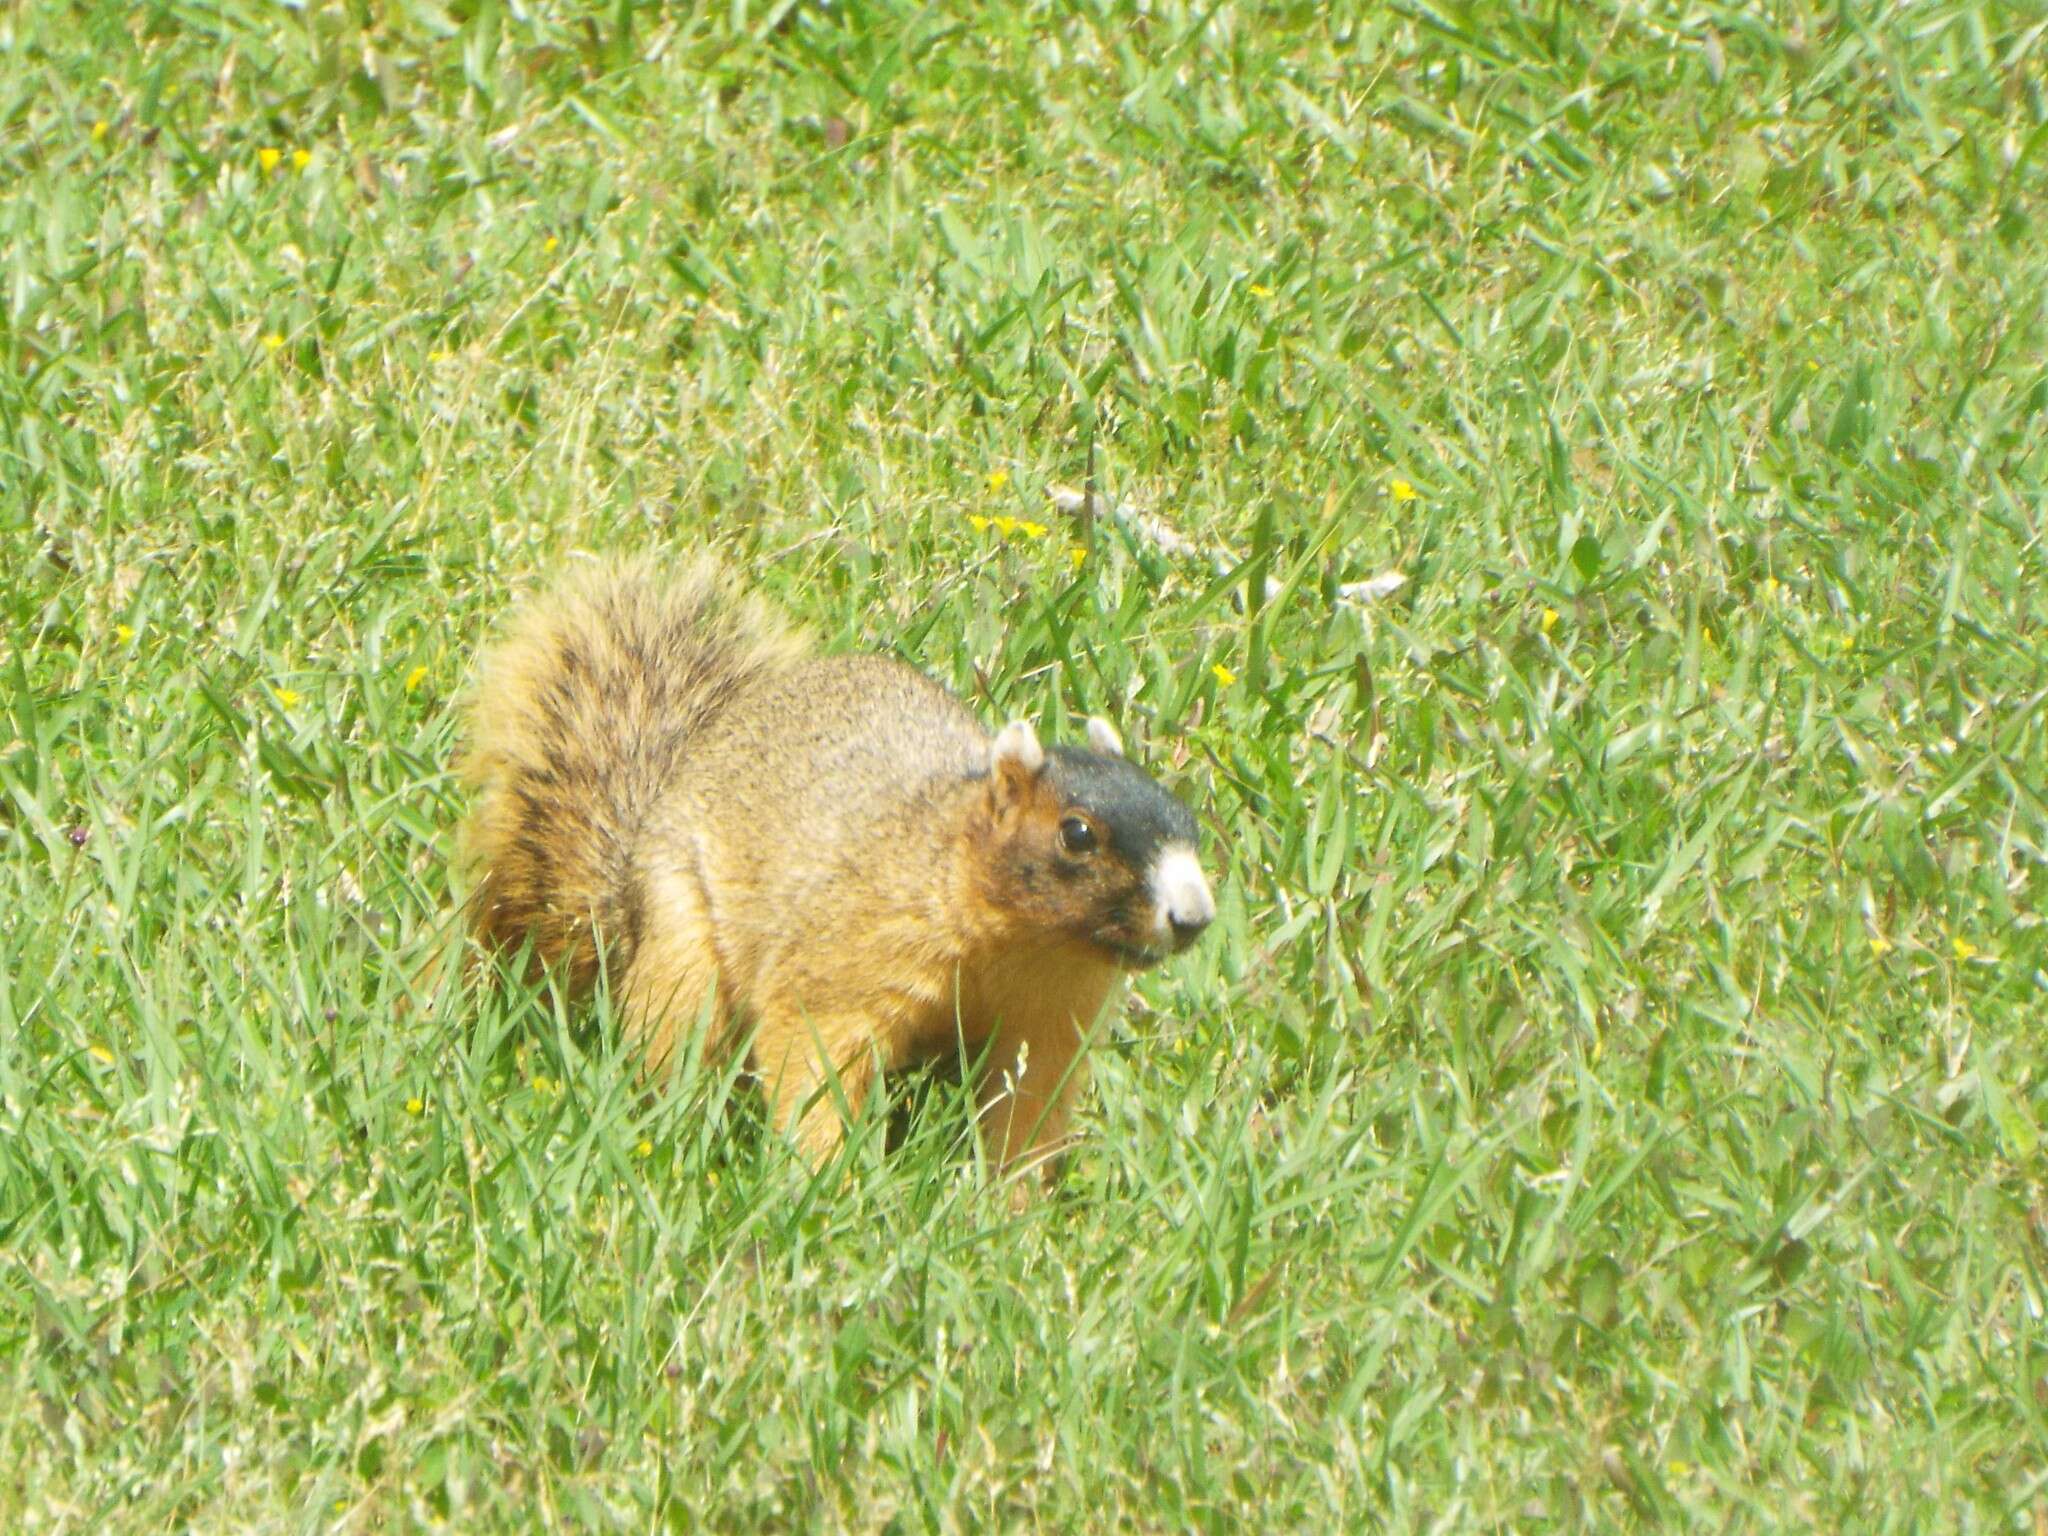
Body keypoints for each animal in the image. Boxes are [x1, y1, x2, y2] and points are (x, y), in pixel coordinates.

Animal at [456, 561, 1204, 1187]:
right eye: (1077, 833)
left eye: (1190, 820)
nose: (1193, 917)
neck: (1018, 941)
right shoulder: (849, 953)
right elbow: (813, 1054)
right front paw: (822, 1185)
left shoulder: (1053, 1018)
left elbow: (1030, 1103)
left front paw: (1011, 1207)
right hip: (680, 941)